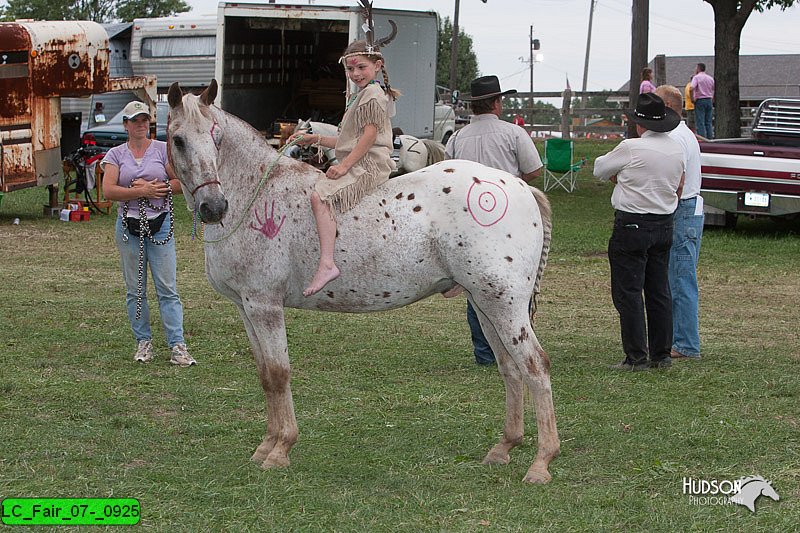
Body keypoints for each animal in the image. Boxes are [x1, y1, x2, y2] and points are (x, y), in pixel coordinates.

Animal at [166, 81, 560, 484]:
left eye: (216, 137)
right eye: (178, 139)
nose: (214, 207)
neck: (257, 193)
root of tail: (517, 185)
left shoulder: (265, 306)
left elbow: (279, 373)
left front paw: (280, 449)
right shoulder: (246, 308)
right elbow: (265, 375)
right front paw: (266, 446)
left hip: (505, 307)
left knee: (535, 367)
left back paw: (542, 462)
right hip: (484, 304)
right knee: (510, 368)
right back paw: (504, 447)